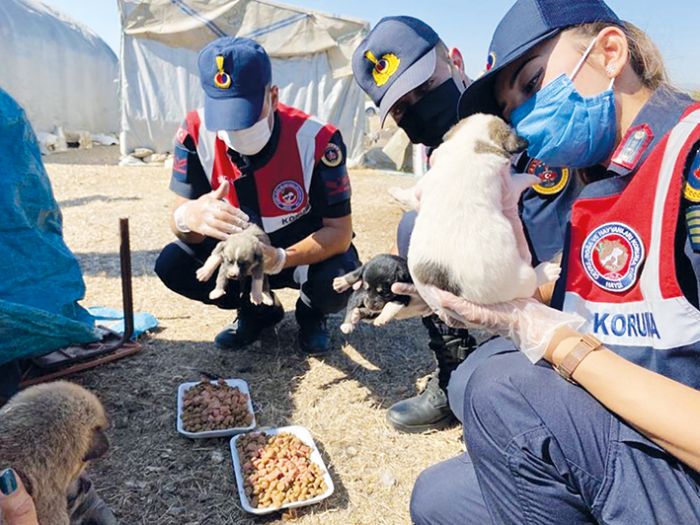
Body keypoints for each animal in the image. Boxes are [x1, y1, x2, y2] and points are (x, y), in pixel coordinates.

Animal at [396, 113, 560, 302]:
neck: (469, 142)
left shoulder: (424, 183)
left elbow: (413, 194)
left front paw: (396, 193)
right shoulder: (510, 187)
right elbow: (520, 178)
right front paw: (535, 178)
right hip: (522, 279)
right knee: (531, 282)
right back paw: (547, 271)